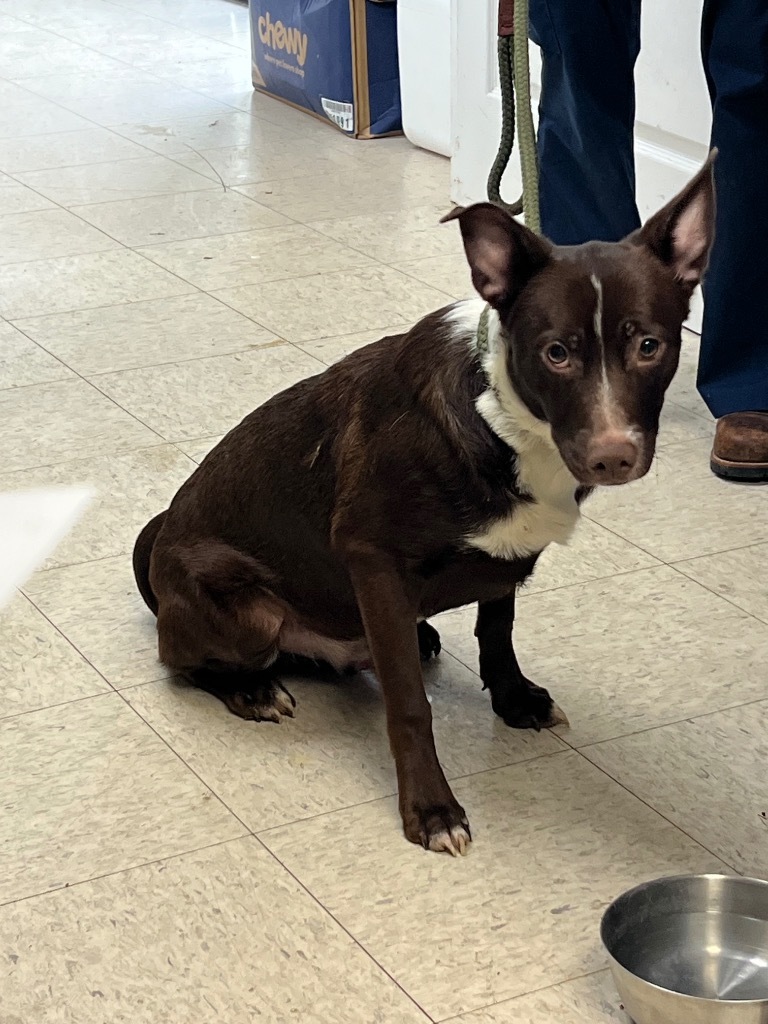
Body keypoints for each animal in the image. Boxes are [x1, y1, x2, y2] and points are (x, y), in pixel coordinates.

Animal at [132, 153, 716, 856]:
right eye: (556, 353)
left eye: (649, 345)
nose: (614, 456)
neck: (506, 418)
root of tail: (161, 543)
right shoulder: (372, 558)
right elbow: (410, 704)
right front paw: (432, 809)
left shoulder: (505, 559)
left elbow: (497, 632)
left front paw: (514, 700)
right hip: (251, 610)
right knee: (183, 659)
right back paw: (252, 689)